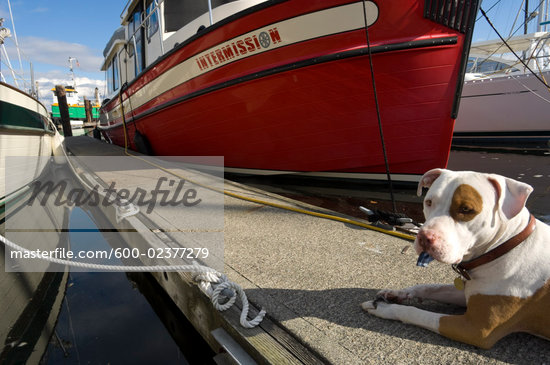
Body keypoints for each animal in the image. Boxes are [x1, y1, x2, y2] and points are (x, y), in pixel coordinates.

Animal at [364, 168, 548, 346]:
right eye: (429, 202)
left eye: (466, 209)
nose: (424, 237)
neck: (504, 246)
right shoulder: (468, 291)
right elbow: (429, 287)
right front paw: (396, 293)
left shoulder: (477, 329)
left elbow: (416, 313)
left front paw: (383, 308)